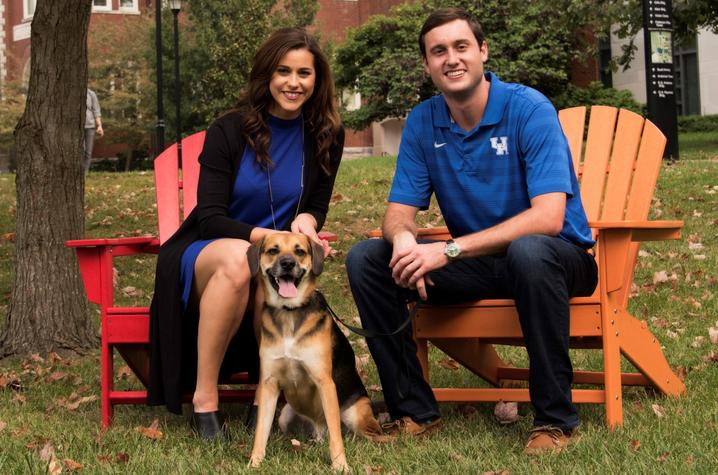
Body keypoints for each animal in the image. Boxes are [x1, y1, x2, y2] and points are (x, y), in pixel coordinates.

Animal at [246, 231, 386, 472]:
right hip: (285, 416)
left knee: (370, 434)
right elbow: (261, 431)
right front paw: (255, 462)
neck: (289, 312)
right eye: (273, 250)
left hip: (354, 415)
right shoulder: (269, 384)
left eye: (299, 251)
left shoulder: (324, 382)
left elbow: (336, 436)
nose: (288, 263)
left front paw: (340, 465)